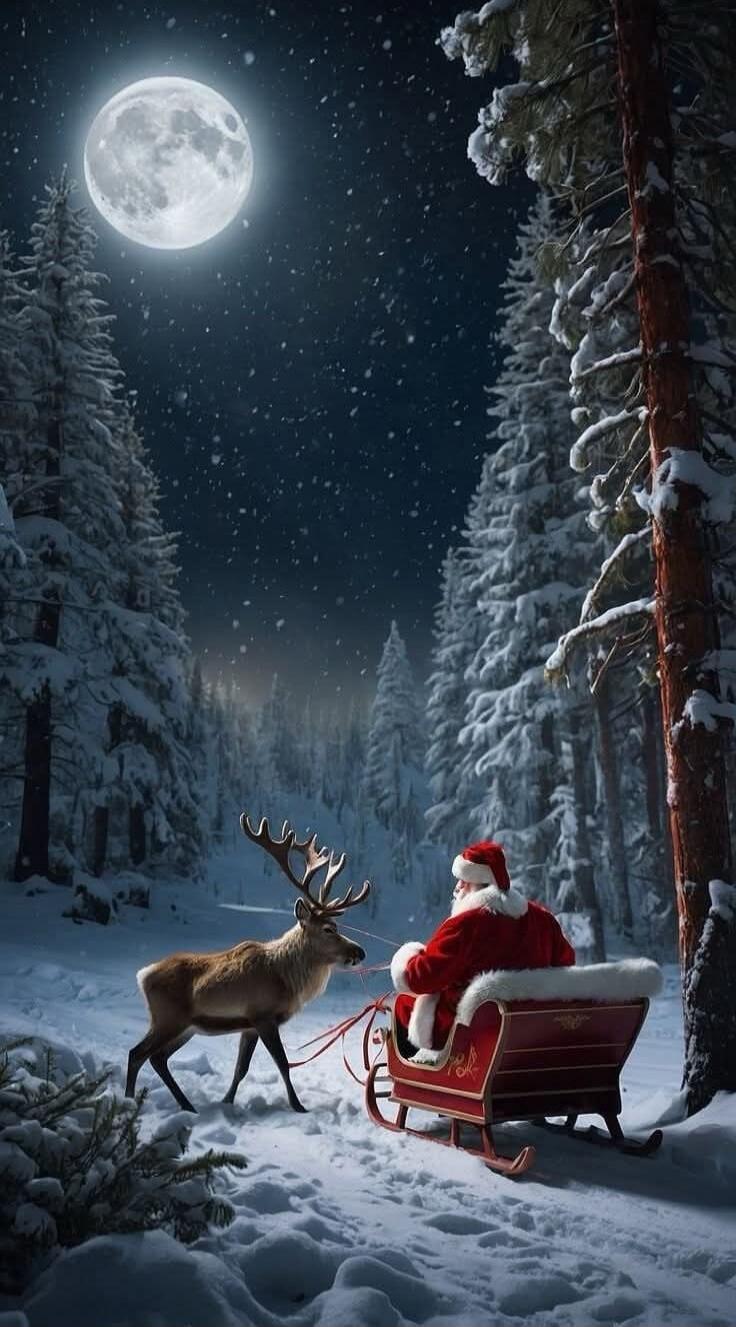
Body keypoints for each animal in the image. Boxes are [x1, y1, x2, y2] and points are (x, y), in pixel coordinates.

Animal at [125, 813, 370, 1113]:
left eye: (337, 926)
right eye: (328, 929)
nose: (360, 951)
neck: (287, 979)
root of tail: (143, 975)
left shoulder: (249, 1025)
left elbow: (240, 1069)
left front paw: (227, 1101)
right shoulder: (263, 1015)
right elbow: (283, 1064)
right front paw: (298, 1106)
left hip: (186, 1027)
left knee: (157, 1058)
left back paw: (186, 1105)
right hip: (168, 1018)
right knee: (137, 1053)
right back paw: (130, 1101)